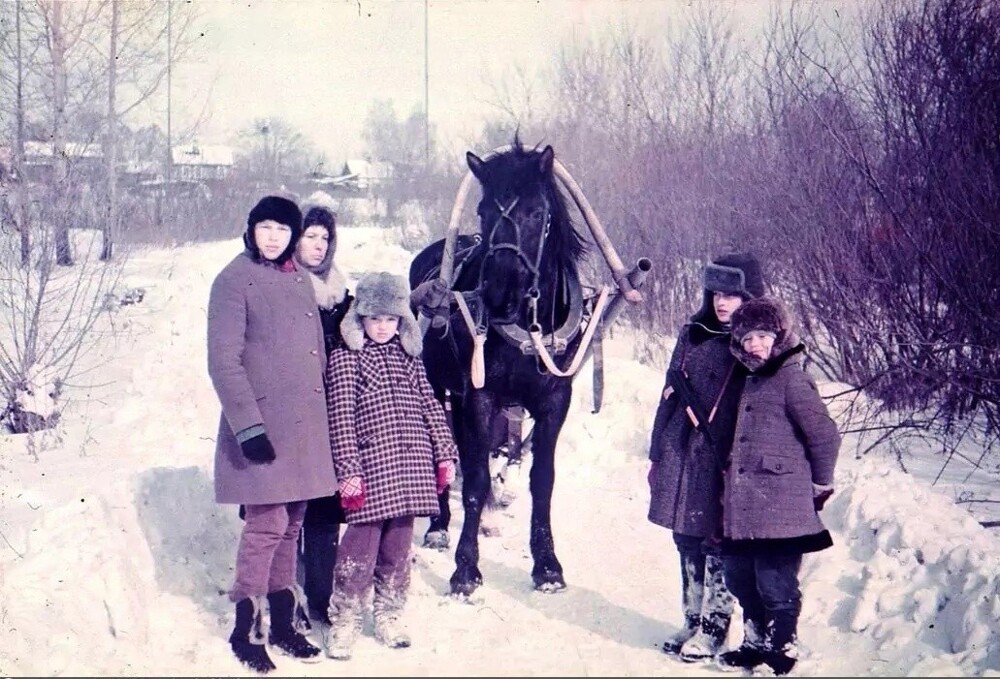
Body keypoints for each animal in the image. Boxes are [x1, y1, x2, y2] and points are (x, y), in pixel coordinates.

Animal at [408, 139, 648, 596]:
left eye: (538, 213)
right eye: (483, 210)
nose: (498, 293)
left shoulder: (555, 400)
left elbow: (542, 479)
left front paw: (547, 564)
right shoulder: (478, 396)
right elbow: (476, 478)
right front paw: (466, 568)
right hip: (439, 387)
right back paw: (440, 524)